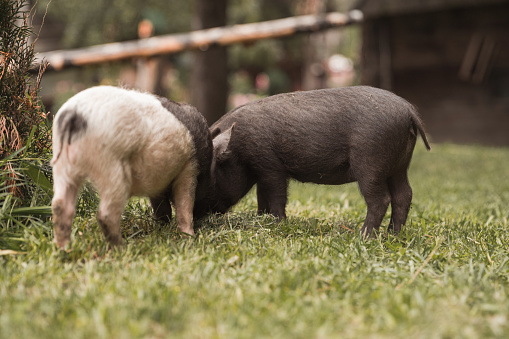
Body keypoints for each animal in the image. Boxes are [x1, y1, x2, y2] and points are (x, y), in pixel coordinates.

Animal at [197, 86, 428, 238]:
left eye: (209, 176)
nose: (198, 215)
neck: (239, 147)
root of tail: (408, 110)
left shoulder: (270, 165)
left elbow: (277, 196)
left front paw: (279, 223)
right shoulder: (261, 171)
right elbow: (262, 197)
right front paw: (262, 218)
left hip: (369, 162)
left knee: (380, 199)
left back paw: (362, 236)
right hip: (399, 166)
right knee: (404, 195)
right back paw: (394, 235)